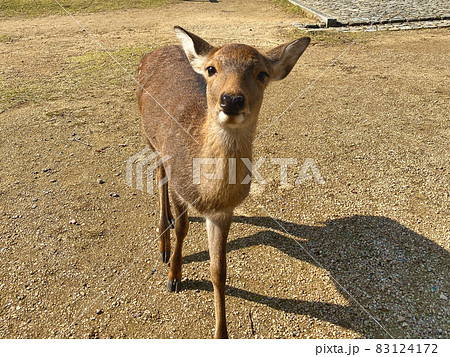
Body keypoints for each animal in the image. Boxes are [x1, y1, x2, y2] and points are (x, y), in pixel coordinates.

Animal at [136, 25, 310, 336]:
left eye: (262, 74)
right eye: (211, 69)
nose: (231, 100)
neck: (208, 193)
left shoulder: (224, 212)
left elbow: (219, 270)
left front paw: (222, 333)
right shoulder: (180, 186)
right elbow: (183, 228)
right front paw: (174, 277)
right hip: (149, 138)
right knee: (159, 175)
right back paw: (163, 242)